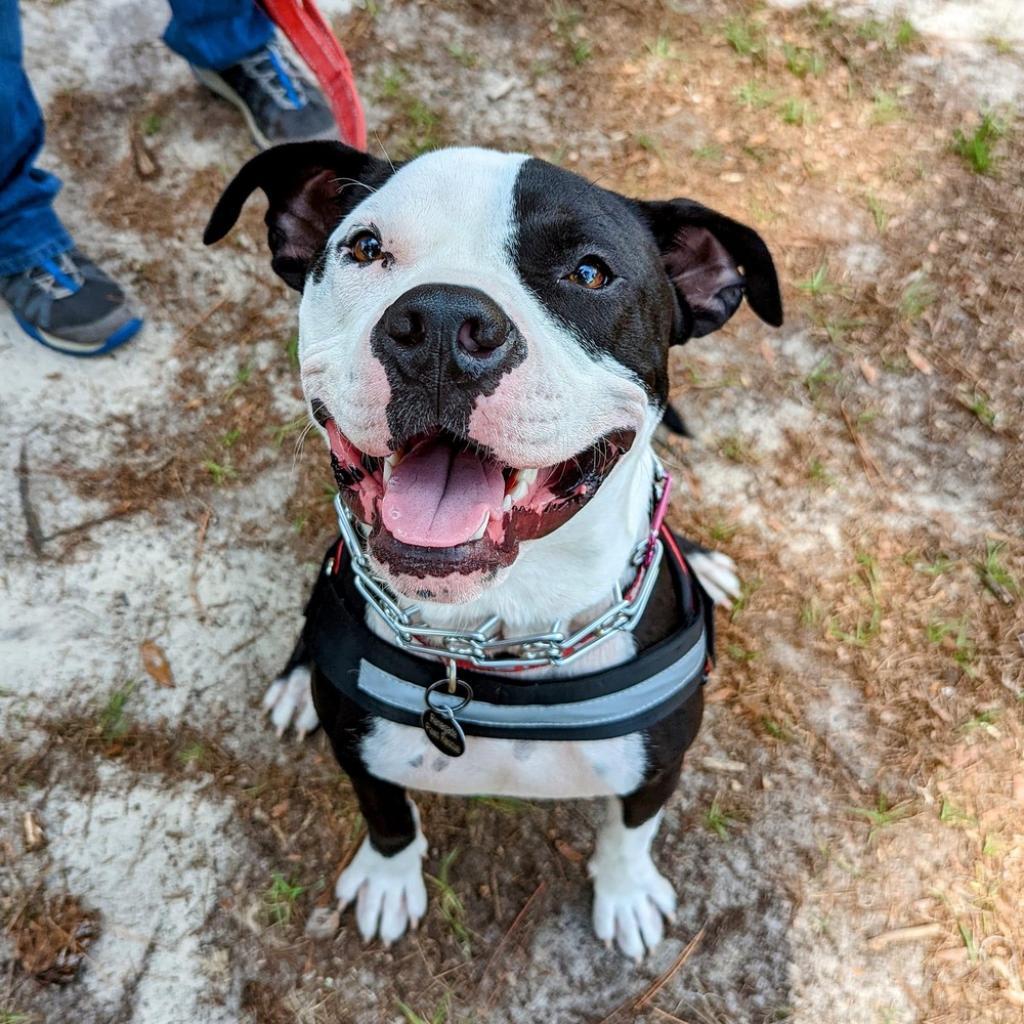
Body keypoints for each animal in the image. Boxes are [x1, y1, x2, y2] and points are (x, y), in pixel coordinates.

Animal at [207, 142, 782, 958]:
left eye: (590, 273)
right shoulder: (360, 753)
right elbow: (389, 819)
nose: (443, 322)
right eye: (365, 249)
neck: (505, 632)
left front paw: (627, 892)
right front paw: (388, 882)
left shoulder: (660, 761)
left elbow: (631, 831)